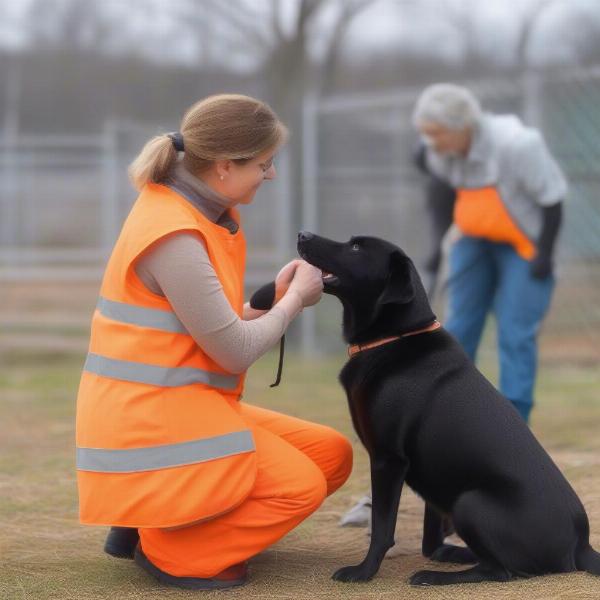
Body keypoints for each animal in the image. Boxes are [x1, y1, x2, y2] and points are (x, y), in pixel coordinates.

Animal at [296, 231, 600, 584]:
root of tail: (581, 545)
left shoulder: (388, 459)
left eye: (356, 247)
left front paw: (363, 572)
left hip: (469, 502)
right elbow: (430, 537)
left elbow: (382, 528)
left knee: (500, 571)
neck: (395, 337)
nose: (303, 234)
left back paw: (433, 576)